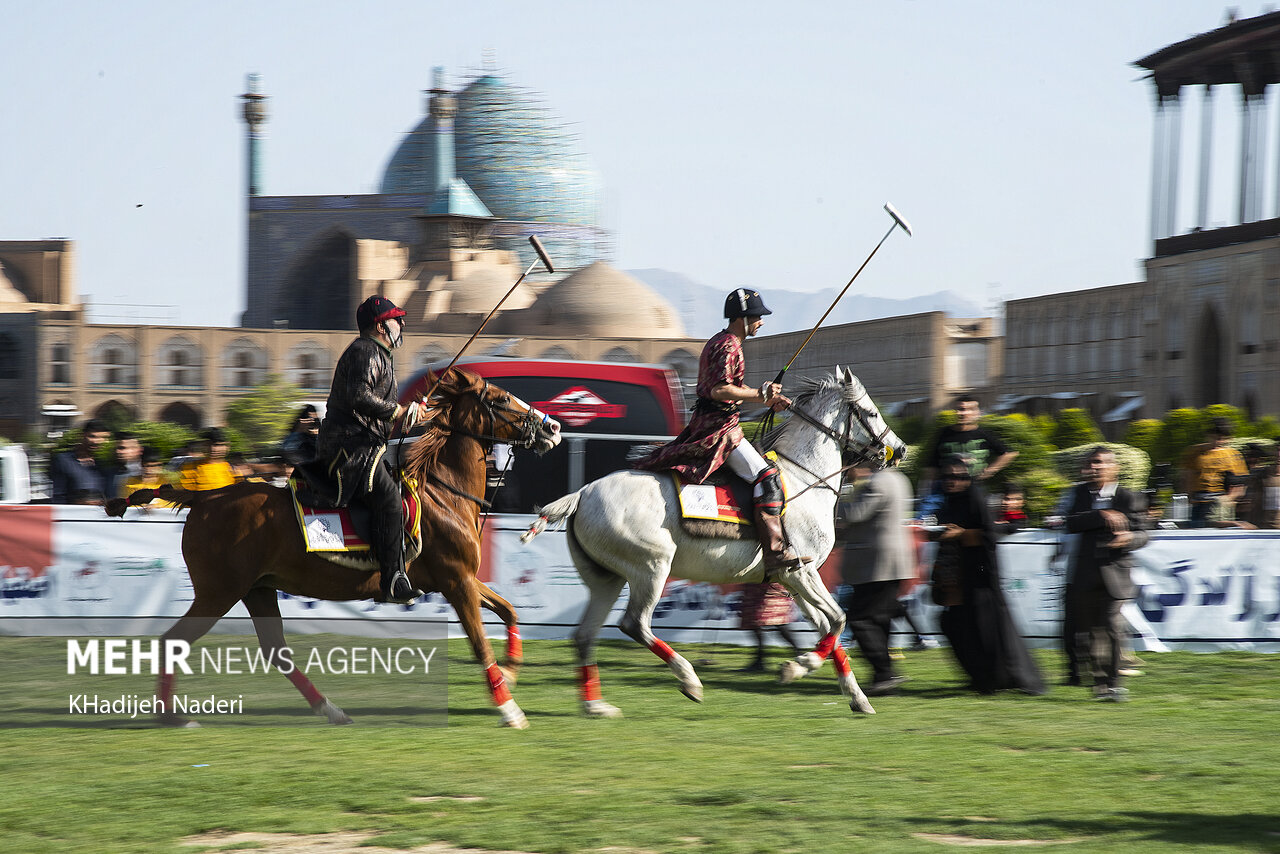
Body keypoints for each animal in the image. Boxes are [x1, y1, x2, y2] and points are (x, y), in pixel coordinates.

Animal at [103, 368, 555, 727]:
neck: (443, 493)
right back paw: (173, 716)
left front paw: (511, 674)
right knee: (173, 641)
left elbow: (509, 611)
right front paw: (510, 709)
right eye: (501, 399)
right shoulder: (455, 580)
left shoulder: (459, 579)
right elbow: (480, 643)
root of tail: (206, 498)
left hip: (257, 589)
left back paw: (329, 709)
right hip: (218, 593)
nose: (551, 428)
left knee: (276, 651)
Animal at [522, 368, 911, 722]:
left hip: (607, 579)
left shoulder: (793, 576)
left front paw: (855, 696)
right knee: (634, 624)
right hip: (651, 568)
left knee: (584, 636)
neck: (805, 478)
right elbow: (839, 620)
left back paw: (596, 706)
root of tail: (582, 493)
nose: (901, 449)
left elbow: (829, 626)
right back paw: (689, 680)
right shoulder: (801, 572)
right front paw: (799, 666)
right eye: (871, 412)